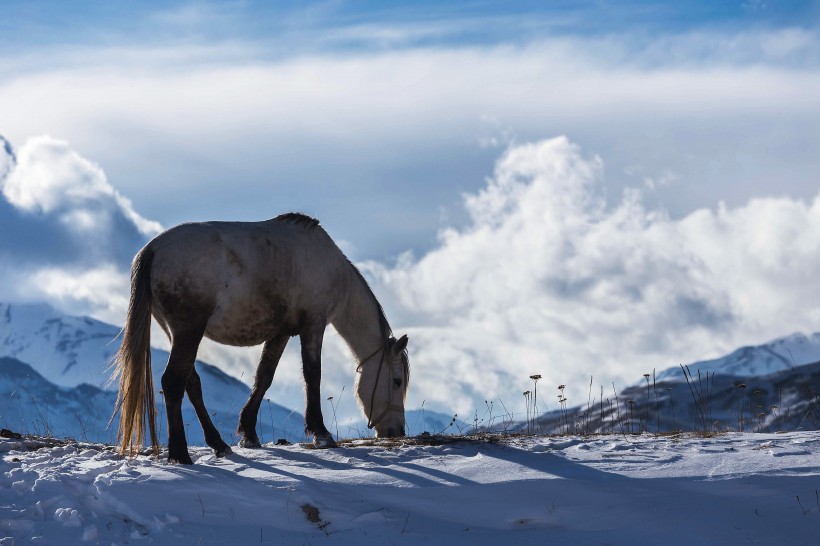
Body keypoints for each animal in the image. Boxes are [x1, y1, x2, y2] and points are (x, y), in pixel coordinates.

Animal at [109, 212, 410, 464]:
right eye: (397, 381)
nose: (396, 430)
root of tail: (152, 249)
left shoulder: (281, 333)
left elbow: (264, 377)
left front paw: (249, 433)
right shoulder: (313, 325)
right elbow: (313, 375)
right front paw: (321, 433)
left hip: (178, 334)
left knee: (190, 383)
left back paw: (218, 444)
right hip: (188, 331)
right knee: (173, 382)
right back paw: (180, 454)